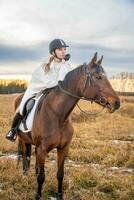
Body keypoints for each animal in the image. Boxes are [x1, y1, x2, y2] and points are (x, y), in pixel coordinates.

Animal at [13, 53, 120, 200]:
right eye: (98, 77)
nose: (117, 103)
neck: (58, 116)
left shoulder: (63, 149)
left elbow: (60, 175)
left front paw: (59, 196)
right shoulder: (42, 150)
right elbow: (41, 177)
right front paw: (38, 195)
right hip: (22, 140)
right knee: (25, 157)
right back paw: (24, 176)